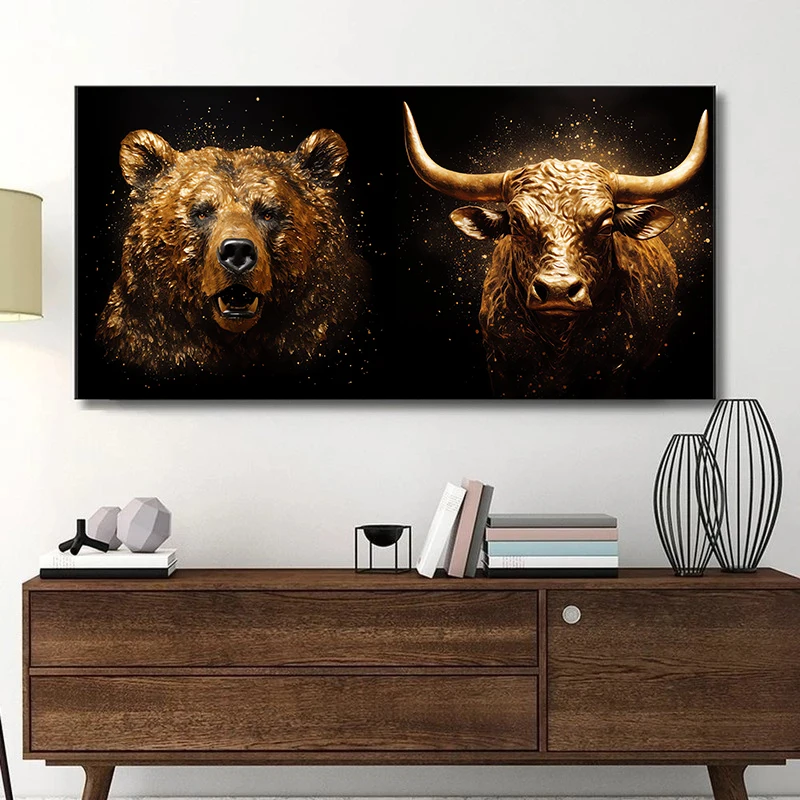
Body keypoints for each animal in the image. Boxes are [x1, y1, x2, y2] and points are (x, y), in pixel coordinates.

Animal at [403, 102, 709, 398]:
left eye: (605, 225)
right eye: (516, 224)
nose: (557, 291)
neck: (559, 345)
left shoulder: (615, 374)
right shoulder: (501, 368)